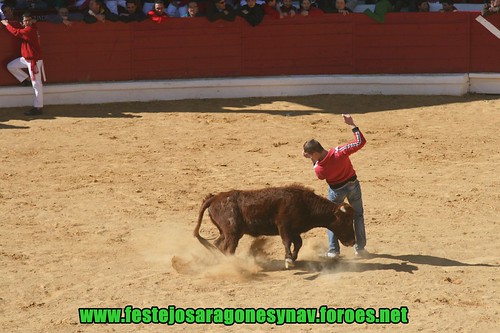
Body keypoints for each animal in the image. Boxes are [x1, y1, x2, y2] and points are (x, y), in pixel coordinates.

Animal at [192, 184, 356, 268]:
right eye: (347, 221)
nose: (352, 241)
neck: (305, 204)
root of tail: (215, 198)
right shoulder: (283, 226)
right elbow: (287, 242)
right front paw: (288, 259)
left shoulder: (294, 230)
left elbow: (298, 243)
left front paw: (293, 258)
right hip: (232, 232)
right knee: (228, 249)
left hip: (227, 232)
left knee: (218, 244)